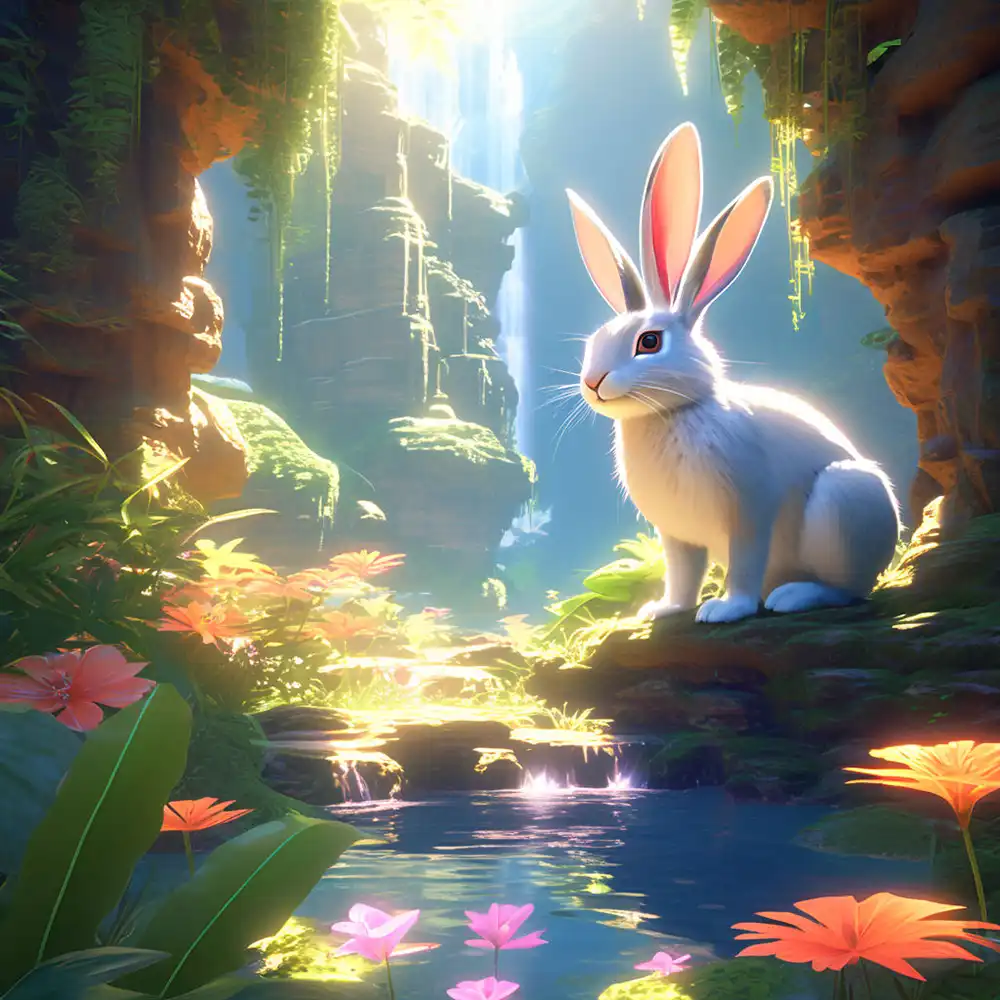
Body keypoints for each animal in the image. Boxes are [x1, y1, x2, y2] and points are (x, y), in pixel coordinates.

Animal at [565, 121, 900, 624]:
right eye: (593, 341)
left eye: (649, 342)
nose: (593, 382)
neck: (674, 412)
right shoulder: (676, 536)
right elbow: (683, 573)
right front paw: (663, 610)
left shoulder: (749, 513)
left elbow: (743, 565)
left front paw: (725, 610)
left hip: (844, 504)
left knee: (849, 590)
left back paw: (791, 597)